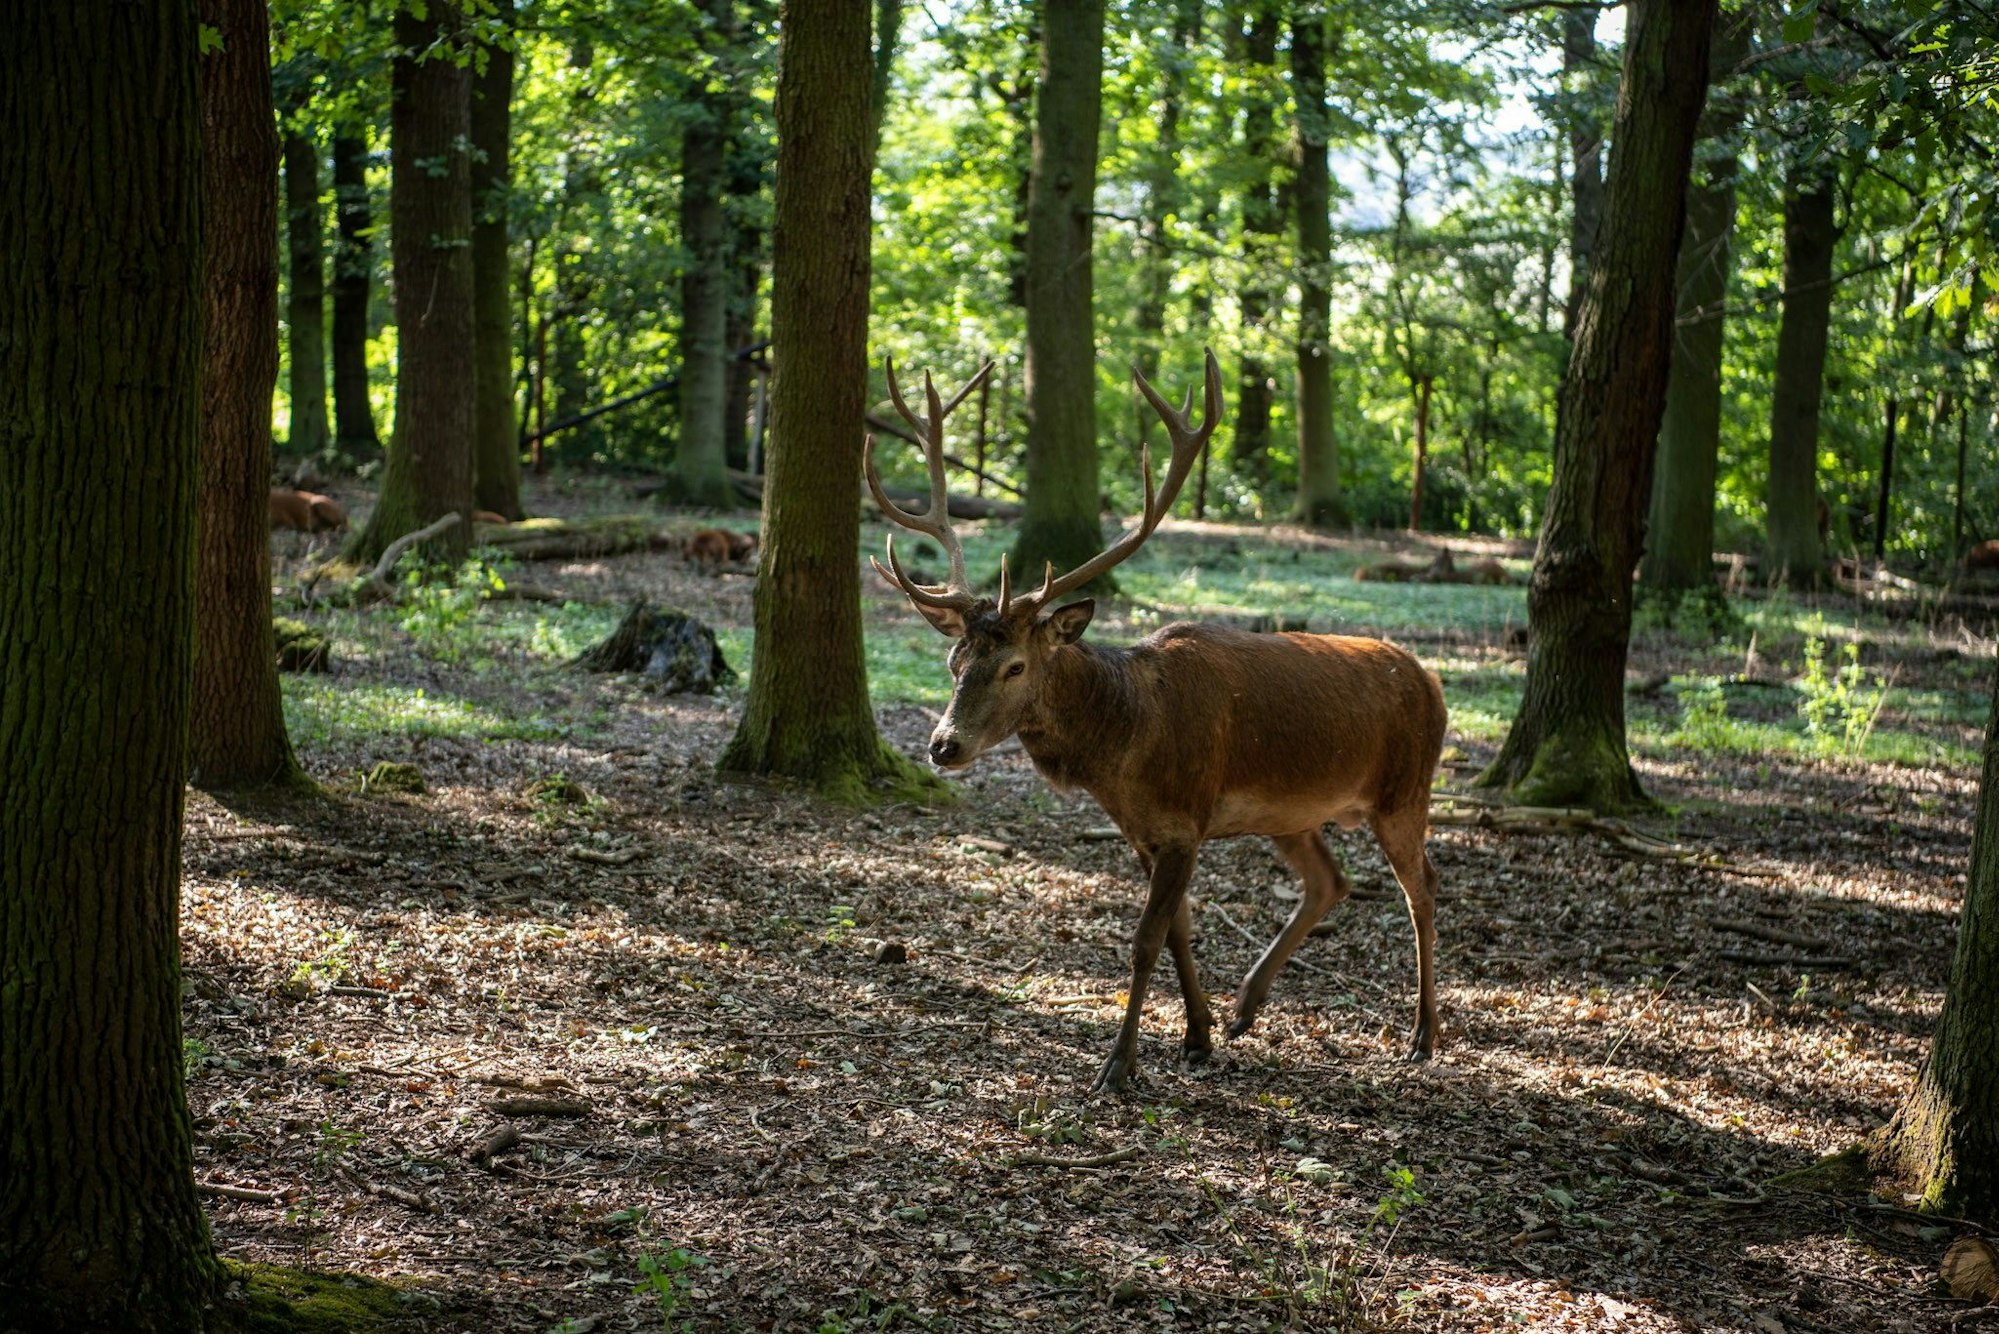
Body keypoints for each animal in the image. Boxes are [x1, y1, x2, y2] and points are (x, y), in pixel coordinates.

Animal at [864, 351, 1447, 1094]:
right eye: (953, 658)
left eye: (1015, 666)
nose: (943, 745)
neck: (1126, 751)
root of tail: (1431, 681)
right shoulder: (1145, 831)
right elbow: (1178, 930)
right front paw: (1198, 1036)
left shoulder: (1185, 823)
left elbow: (1144, 939)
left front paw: (1118, 1064)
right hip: (1292, 812)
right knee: (1329, 881)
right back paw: (1246, 1008)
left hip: (1405, 791)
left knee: (1421, 889)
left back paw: (1423, 1035)